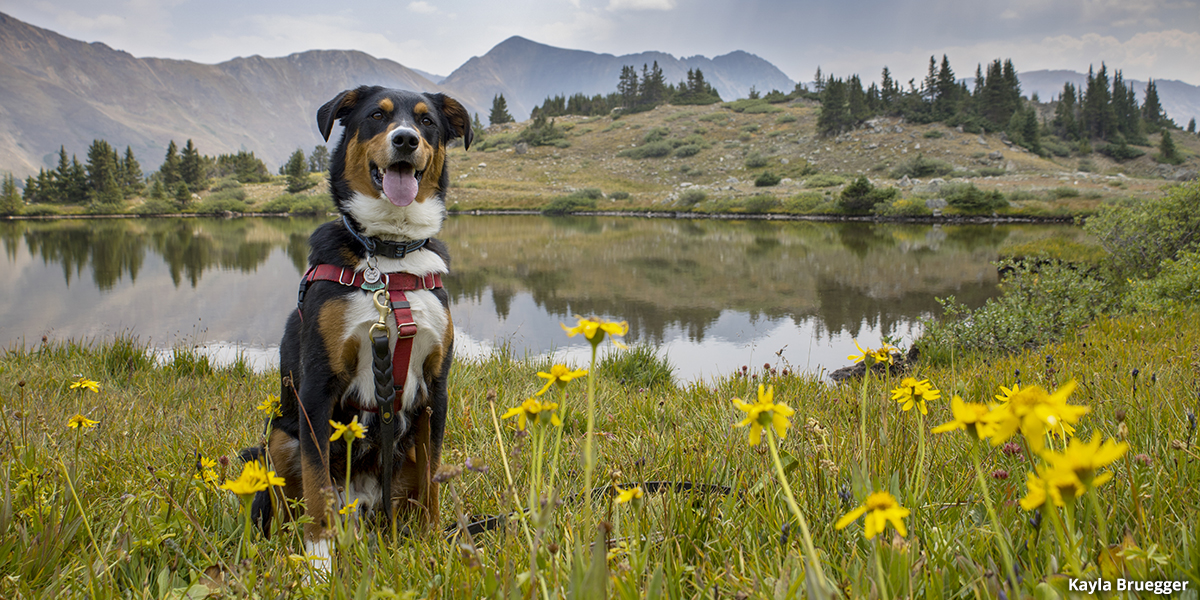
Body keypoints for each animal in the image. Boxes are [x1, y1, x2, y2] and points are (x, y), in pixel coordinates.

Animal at [246, 87, 470, 559]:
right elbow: (316, 487)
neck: (389, 257)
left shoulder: (435, 387)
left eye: (427, 122)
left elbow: (433, 481)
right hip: (277, 438)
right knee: (285, 509)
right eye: (376, 116)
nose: (405, 139)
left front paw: (432, 544)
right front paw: (318, 561)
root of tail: (364, 504)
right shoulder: (319, 385)